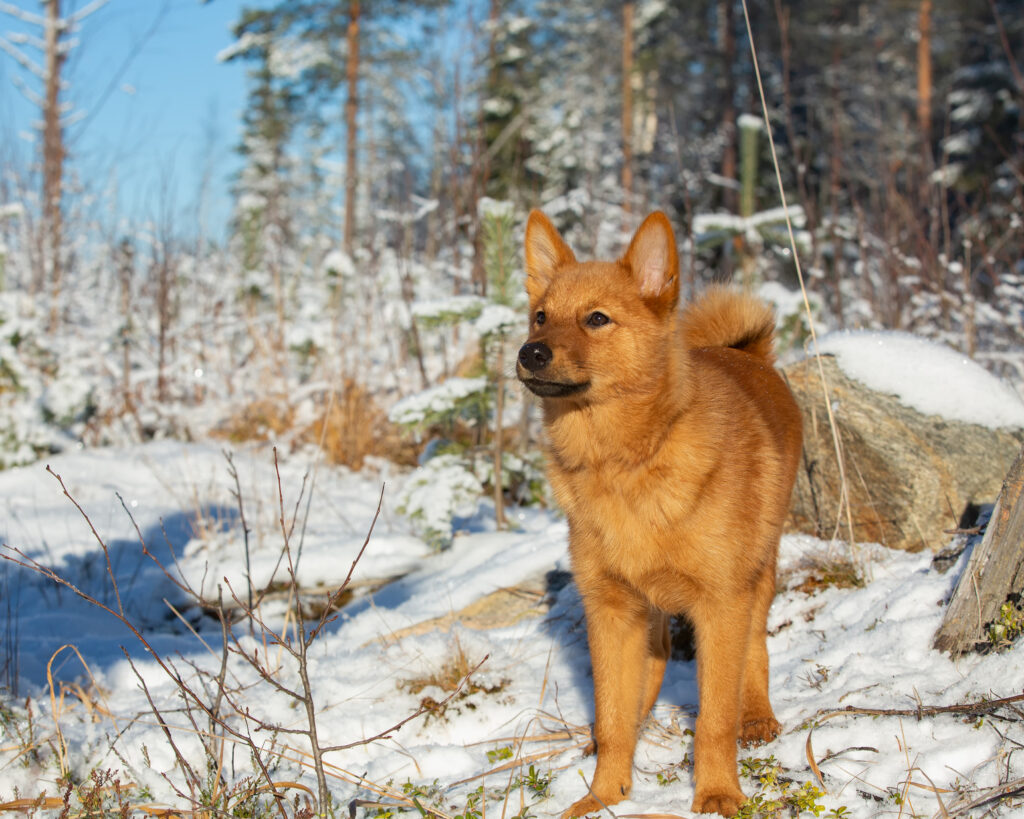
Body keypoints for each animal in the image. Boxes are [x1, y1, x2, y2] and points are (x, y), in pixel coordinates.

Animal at [516, 212, 802, 818]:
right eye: (541, 316)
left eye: (597, 319)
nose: (530, 353)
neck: (624, 461)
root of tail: (746, 352)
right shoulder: (610, 610)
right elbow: (612, 717)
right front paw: (603, 796)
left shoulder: (722, 603)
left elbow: (714, 719)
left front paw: (718, 793)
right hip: (645, 611)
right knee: (651, 669)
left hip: (758, 574)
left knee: (755, 648)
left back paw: (757, 716)